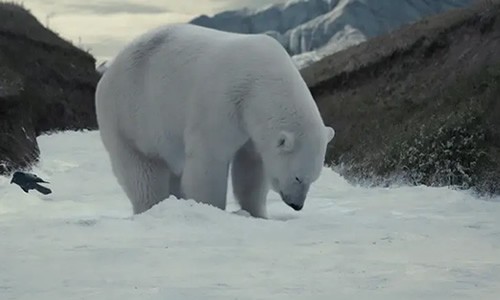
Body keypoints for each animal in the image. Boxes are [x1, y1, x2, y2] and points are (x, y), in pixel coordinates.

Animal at [95, 22, 334, 216]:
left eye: (313, 178)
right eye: (298, 177)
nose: (297, 205)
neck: (259, 81)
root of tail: (108, 73)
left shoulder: (250, 128)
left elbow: (251, 168)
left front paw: (256, 213)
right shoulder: (221, 103)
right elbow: (209, 160)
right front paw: (212, 208)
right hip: (129, 117)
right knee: (142, 174)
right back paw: (152, 205)